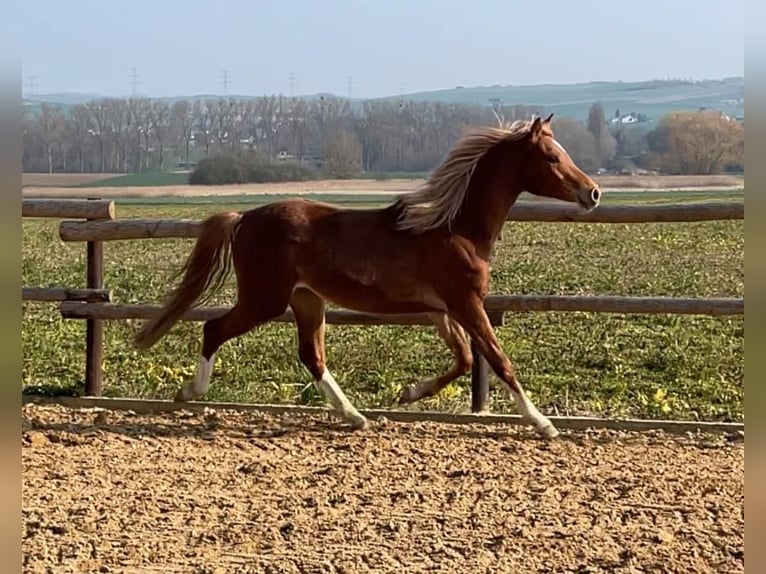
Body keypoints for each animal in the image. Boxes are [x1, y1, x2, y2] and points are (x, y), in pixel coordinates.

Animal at [134, 114, 601, 439]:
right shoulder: (466, 303)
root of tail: (244, 218)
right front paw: (544, 424)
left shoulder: (442, 310)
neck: (455, 228)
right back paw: (189, 392)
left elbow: (466, 359)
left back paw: (355, 416)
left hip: (307, 300)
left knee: (312, 356)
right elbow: (498, 359)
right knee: (214, 329)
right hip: (264, 299)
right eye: (552, 157)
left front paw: (408, 393)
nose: (593, 193)